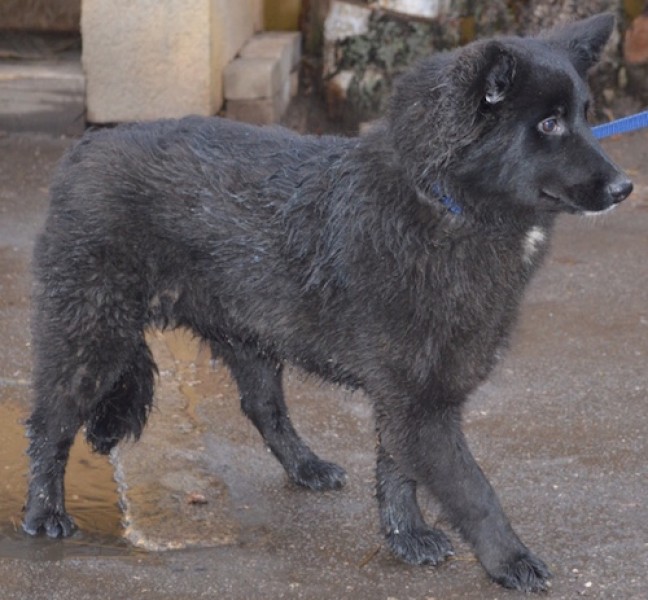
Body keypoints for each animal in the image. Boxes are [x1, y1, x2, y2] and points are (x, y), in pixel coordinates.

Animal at [23, 13, 632, 592]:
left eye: (585, 115)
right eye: (548, 124)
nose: (624, 187)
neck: (444, 202)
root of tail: (84, 149)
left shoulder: (406, 395)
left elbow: (397, 469)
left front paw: (405, 537)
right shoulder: (421, 401)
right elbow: (472, 489)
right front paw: (510, 559)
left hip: (249, 335)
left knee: (264, 409)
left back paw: (306, 466)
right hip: (90, 337)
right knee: (50, 421)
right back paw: (43, 511)